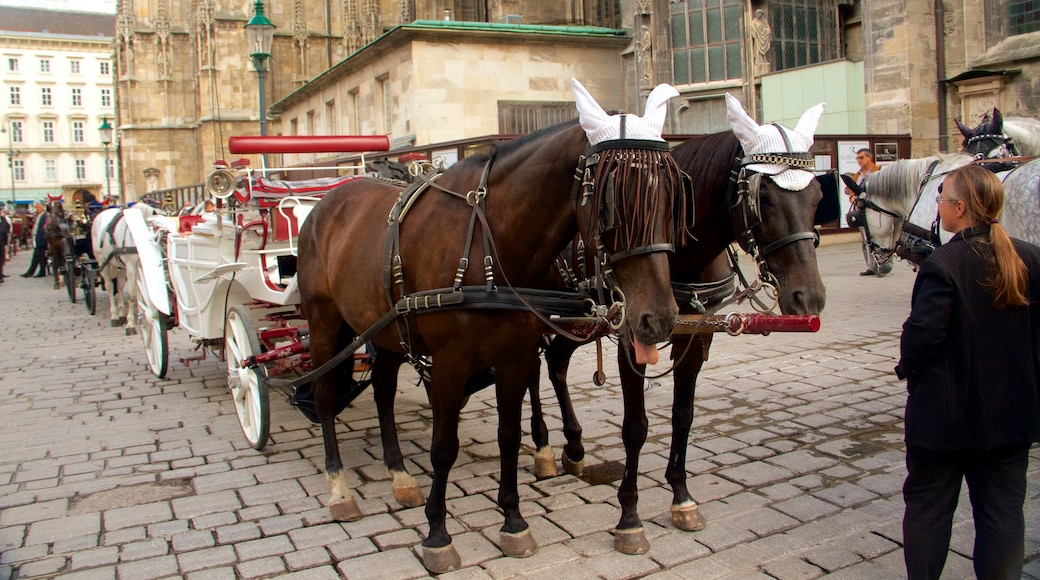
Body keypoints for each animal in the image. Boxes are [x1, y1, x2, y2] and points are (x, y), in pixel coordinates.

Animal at [299, 80, 690, 573]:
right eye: (610, 202)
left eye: (673, 197)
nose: (660, 317)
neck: (489, 244)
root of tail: (327, 200)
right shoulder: (449, 363)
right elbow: (444, 446)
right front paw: (437, 534)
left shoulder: (514, 356)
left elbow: (508, 435)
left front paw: (513, 522)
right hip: (323, 322)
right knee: (325, 397)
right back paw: (339, 488)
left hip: (383, 329)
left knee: (384, 393)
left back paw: (399, 476)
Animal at [528, 93, 827, 552]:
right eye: (764, 199)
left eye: (816, 195)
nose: (809, 297)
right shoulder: (631, 336)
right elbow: (635, 427)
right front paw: (630, 517)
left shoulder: (697, 337)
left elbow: (683, 415)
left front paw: (682, 498)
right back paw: (543, 446)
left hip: (581, 320)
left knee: (557, 363)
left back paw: (573, 447)